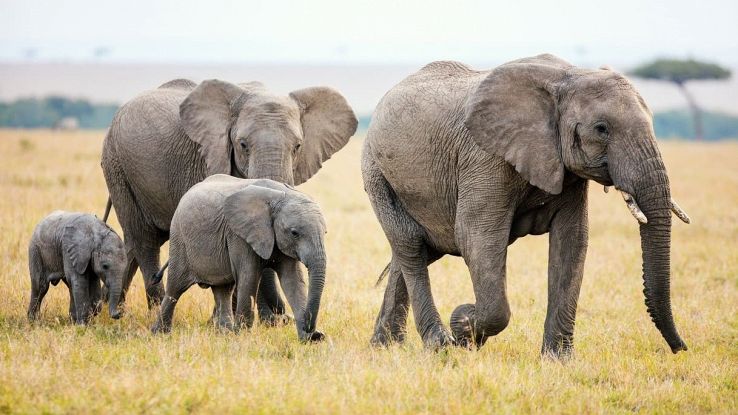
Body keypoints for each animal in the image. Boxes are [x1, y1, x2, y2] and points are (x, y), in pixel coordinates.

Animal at [103, 79, 356, 322]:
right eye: (243, 145)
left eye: (298, 147)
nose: (283, 316)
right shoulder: (209, 157)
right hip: (118, 167)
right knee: (144, 241)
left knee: (133, 242)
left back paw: (108, 310)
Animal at [362, 53, 688, 358]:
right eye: (601, 129)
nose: (681, 349)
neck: (569, 76)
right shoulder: (484, 157)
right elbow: (477, 238)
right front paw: (463, 327)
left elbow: (572, 241)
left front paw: (557, 360)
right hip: (376, 172)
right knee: (411, 246)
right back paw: (438, 344)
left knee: (416, 251)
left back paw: (385, 346)